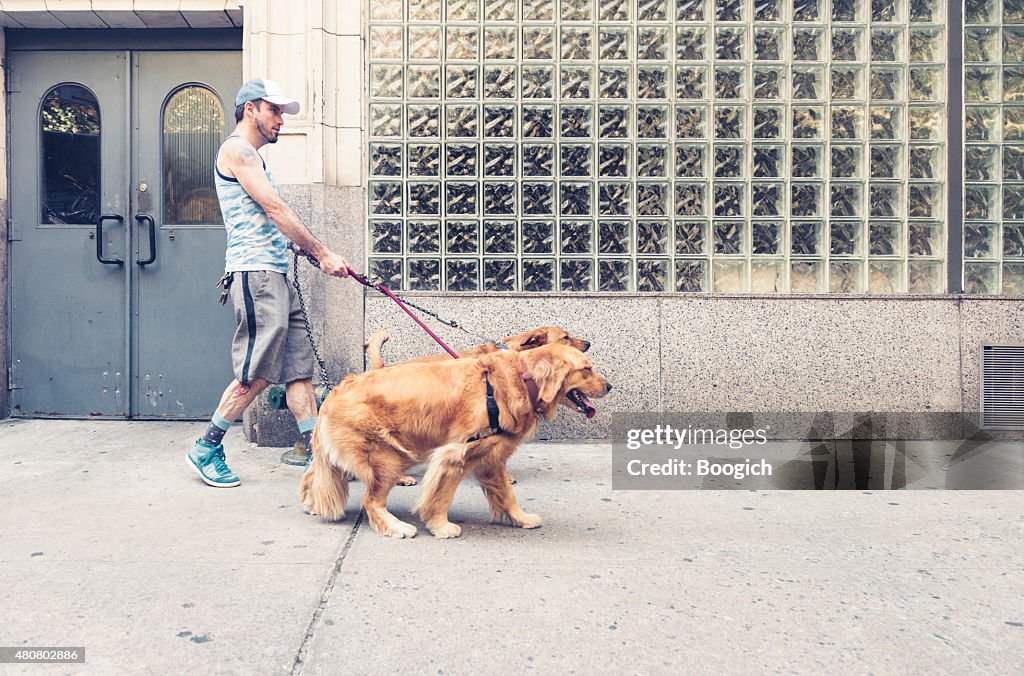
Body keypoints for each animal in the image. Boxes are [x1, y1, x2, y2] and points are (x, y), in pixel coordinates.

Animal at [299, 344, 610, 536]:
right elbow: (443, 495)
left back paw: (311, 503)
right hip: (388, 458)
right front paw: (440, 526)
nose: (609, 386)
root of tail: (336, 390)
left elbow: (506, 493)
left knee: (315, 477)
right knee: (370, 500)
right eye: (587, 369)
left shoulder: (491, 456)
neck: (522, 379)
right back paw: (396, 526)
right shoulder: (455, 454)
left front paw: (520, 518)